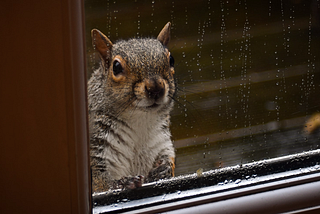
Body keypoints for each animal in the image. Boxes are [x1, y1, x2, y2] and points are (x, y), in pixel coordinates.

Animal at [89, 22, 176, 192]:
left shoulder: (161, 142)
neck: (139, 120)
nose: (156, 88)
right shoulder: (97, 146)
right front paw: (124, 182)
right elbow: (99, 182)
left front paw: (164, 168)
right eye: (116, 67)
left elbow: (168, 158)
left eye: (171, 60)